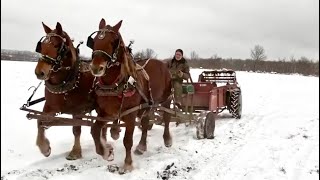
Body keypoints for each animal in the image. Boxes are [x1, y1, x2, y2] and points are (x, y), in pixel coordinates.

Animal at [34, 22, 102, 160]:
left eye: (56, 45)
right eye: (41, 45)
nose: (39, 72)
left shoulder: (78, 110)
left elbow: (76, 130)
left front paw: (75, 152)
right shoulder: (50, 106)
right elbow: (40, 121)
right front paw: (44, 148)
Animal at [87, 18, 172, 173]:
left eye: (113, 41)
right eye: (94, 40)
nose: (96, 68)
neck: (114, 84)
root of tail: (162, 63)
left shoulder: (131, 114)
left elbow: (127, 140)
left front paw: (127, 164)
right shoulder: (106, 113)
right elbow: (95, 130)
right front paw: (106, 152)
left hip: (166, 98)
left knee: (167, 117)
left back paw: (167, 139)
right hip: (146, 105)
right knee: (145, 122)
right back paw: (142, 146)